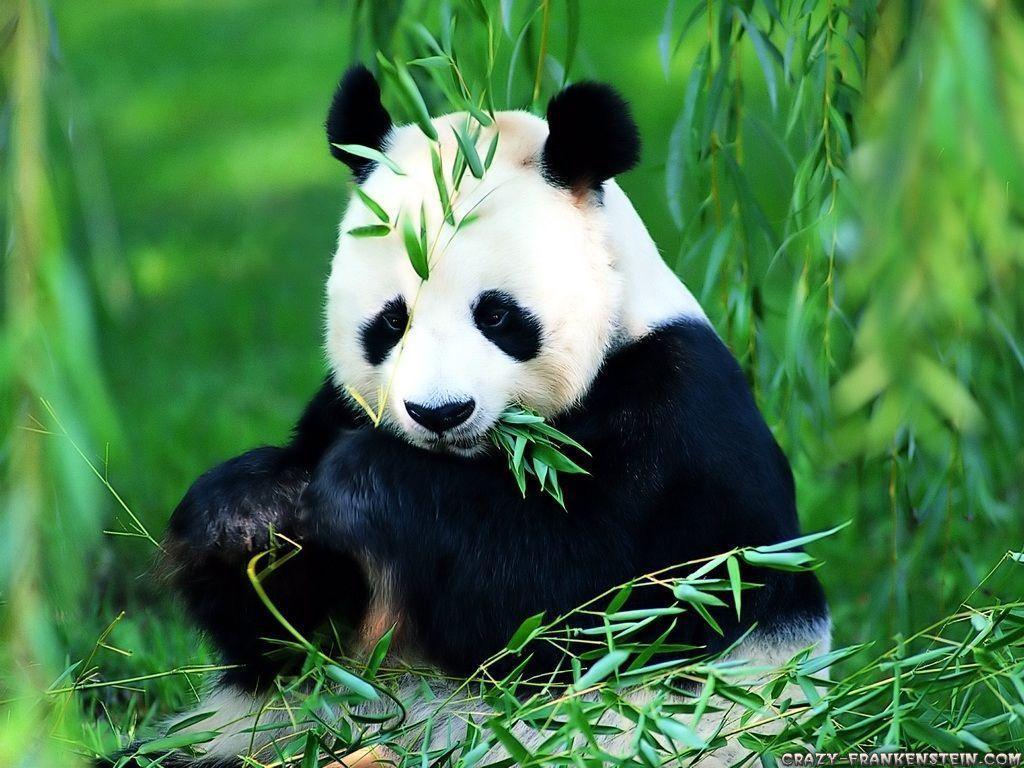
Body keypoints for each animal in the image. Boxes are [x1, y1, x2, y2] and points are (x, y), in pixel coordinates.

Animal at [101, 65, 830, 767]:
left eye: (498, 315)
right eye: (392, 321)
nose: (440, 413)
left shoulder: (680, 422)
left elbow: (585, 601)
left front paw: (364, 482)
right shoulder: (338, 408)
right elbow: (288, 639)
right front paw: (249, 512)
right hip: (256, 733)